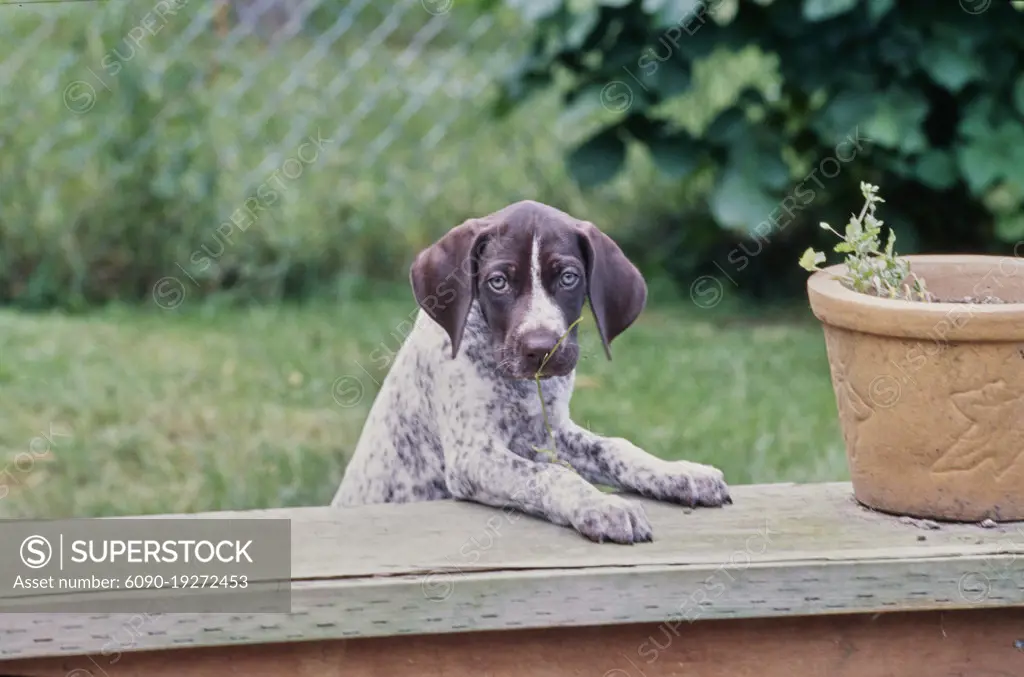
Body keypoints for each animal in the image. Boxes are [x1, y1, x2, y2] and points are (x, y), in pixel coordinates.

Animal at [331, 197, 733, 540]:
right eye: (498, 282)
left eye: (569, 277)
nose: (542, 348)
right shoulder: (473, 455)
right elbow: (550, 476)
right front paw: (600, 505)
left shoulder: (548, 432)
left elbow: (616, 447)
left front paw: (679, 472)